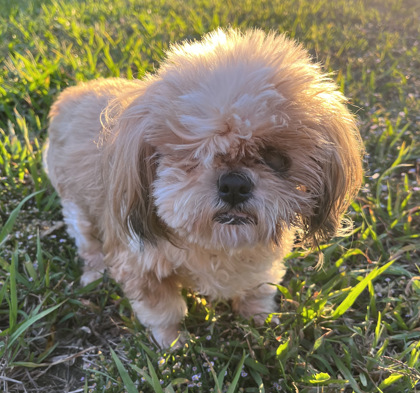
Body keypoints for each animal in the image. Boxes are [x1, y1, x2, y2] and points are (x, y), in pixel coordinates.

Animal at [43, 27, 364, 346]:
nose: (234, 184)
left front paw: (259, 319)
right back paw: (94, 272)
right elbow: (163, 311)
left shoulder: (262, 263)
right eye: (194, 157)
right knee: (86, 239)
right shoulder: (140, 267)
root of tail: (68, 95)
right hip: (75, 204)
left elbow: (259, 288)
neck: (217, 244)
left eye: (275, 158)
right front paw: (173, 343)